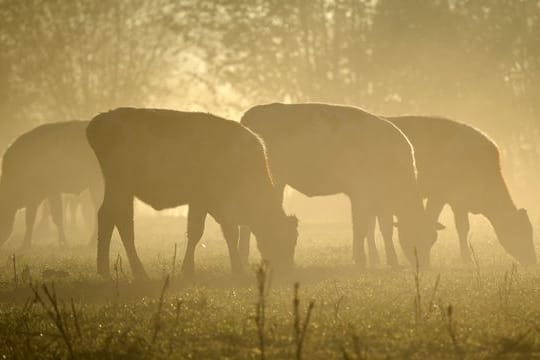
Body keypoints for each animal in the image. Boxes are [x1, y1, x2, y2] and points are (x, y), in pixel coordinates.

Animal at [0, 120, 103, 248]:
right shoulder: (50, 193)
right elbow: (55, 217)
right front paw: (63, 243)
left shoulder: (38, 196)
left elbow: (33, 219)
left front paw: (25, 245)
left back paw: (91, 243)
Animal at [86, 108, 298, 280]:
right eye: (282, 238)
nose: (287, 270)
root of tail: (100, 120)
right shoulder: (208, 203)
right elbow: (215, 233)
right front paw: (235, 270)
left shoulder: (203, 205)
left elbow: (203, 233)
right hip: (121, 188)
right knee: (123, 223)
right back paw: (138, 273)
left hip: (119, 190)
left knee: (108, 218)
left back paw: (105, 271)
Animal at [237, 102, 438, 268]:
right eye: (417, 234)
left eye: (432, 240)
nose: (425, 266)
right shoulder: (361, 195)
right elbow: (360, 227)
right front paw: (361, 260)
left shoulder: (381, 202)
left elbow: (384, 228)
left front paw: (391, 261)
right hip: (273, 182)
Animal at [368, 116, 536, 266]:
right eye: (519, 231)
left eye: (530, 230)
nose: (532, 260)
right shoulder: (439, 196)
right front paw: (467, 259)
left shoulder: (459, 203)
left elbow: (463, 228)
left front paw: (466, 258)